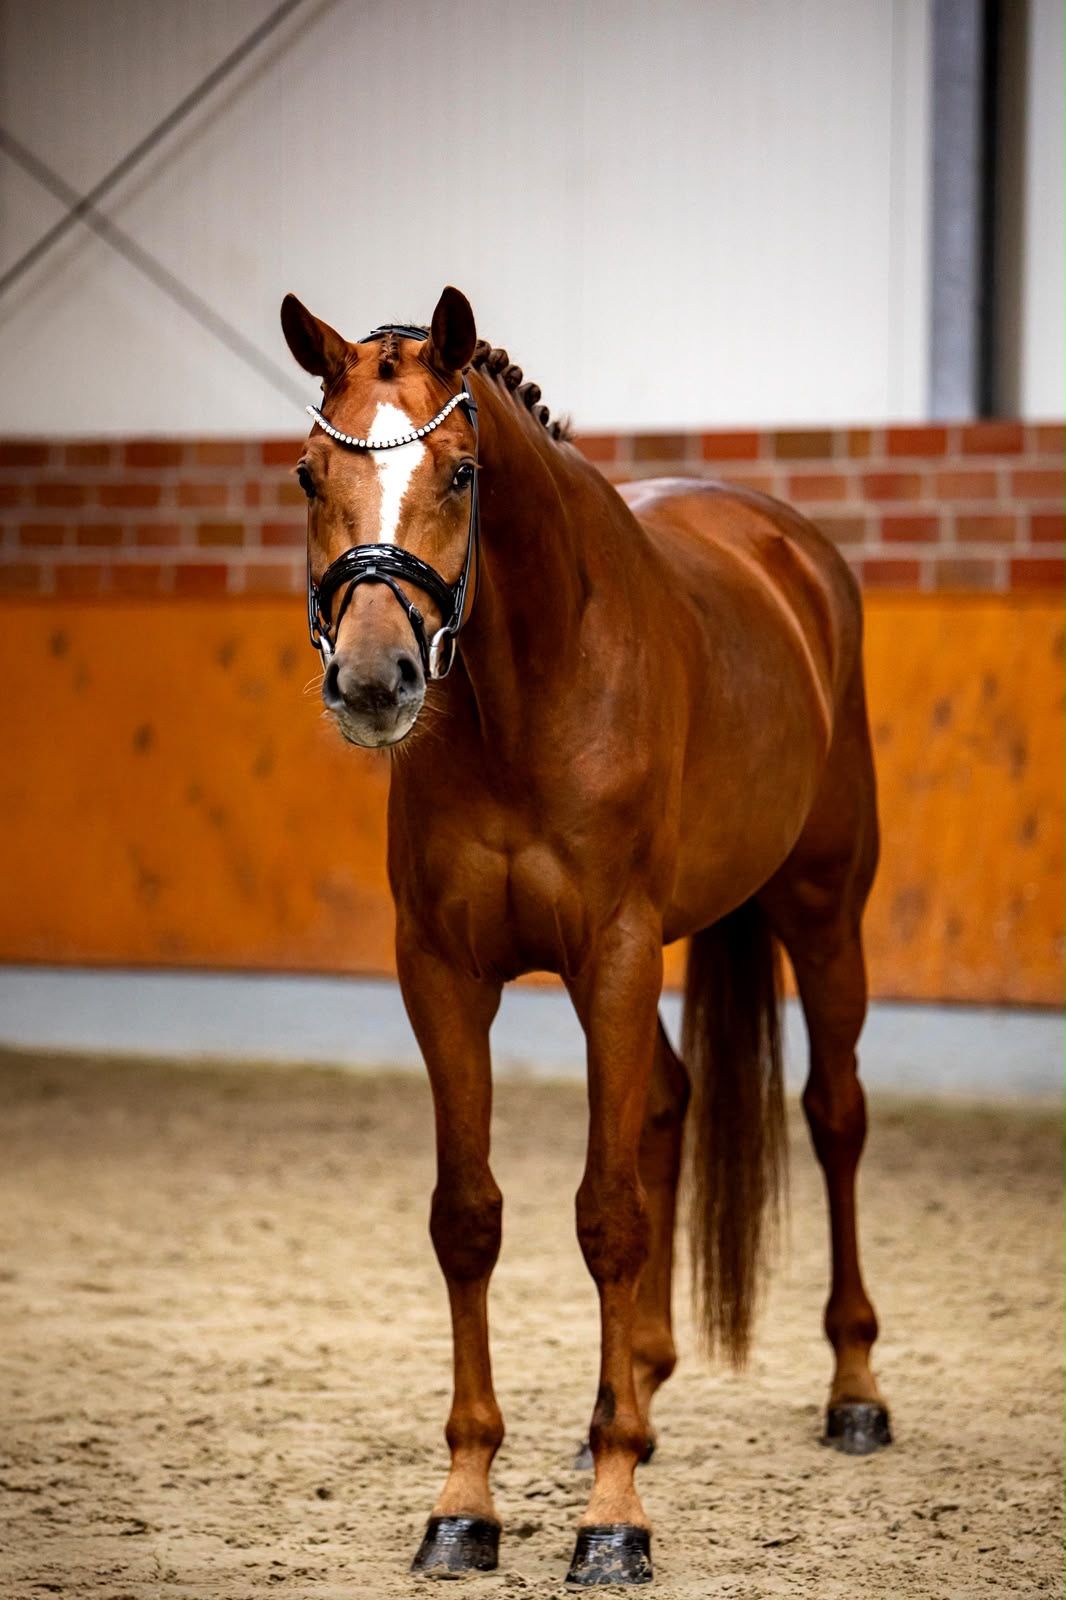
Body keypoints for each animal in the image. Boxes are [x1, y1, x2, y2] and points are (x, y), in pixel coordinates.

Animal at [280, 285, 890, 1586]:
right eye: (310, 471)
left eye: (461, 471)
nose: (373, 679)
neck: (528, 690)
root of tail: (791, 552)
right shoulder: (443, 973)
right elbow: (468, 1218)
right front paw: (465, 1502)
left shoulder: (611, 952)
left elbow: (607, 1219)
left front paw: (612, 1520)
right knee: (666, 1098)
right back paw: (642, 1394)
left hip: (821, 912)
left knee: (833, 1115)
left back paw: (854, 1390)